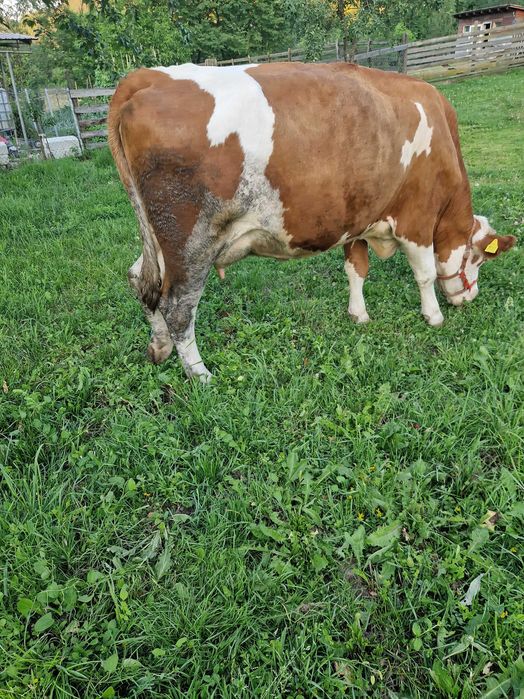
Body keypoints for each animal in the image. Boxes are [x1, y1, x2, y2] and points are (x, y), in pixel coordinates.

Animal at [108, 62, 516, 382]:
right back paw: (199, 374)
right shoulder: (416, 218)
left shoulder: (359, 218)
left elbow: (356, 269)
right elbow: (426, 273)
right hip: (192, 240)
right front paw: (433, 316)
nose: (469, 297)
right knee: (177, 305)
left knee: (140, 280)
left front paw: (358, 314)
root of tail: (147, 77)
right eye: (478, 259)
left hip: (159, 240)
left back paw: (159, 348)